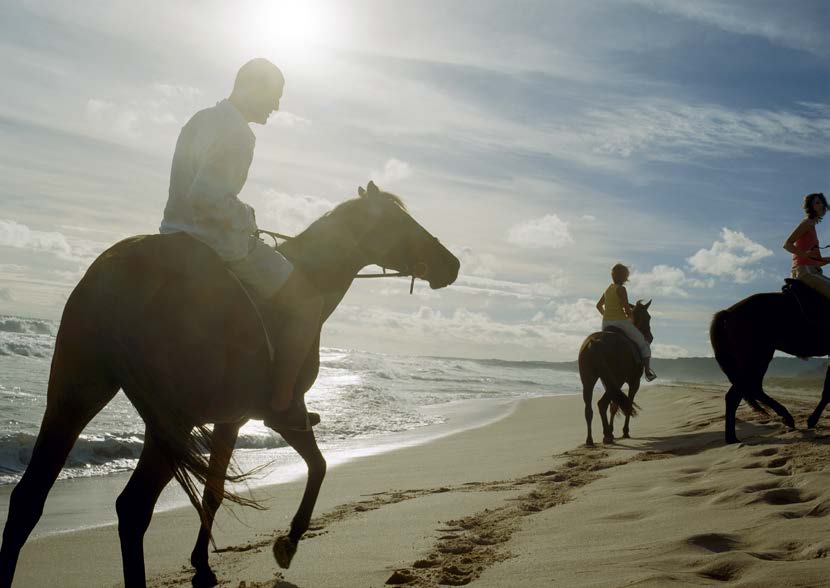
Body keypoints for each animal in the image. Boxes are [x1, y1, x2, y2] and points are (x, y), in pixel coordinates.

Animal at [0, 181, 462, 588]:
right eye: (400, 223)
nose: (452, 264)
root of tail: (120, 275)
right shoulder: (282, 415)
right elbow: (318, 466)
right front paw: (288, 542)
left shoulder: (231, 420)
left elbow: (214, 492)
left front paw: (202, 566)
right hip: (171, 420)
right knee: (132, 508)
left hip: (74, 397)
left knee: (27, 500)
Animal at [576, 304, 652, 446]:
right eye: (648, 317)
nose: (650, 337)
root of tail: (594, 343)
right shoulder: (634, 382)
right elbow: (626, 404)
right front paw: (624, 431)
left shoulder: (608, 382)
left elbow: (613, 405)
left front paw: (611, 430)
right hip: (618, 379)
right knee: (602, 404)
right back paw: (607, 436)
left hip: (588, 380)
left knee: (590, 409)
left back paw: (591, 440)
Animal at [708, 282, 830, 446]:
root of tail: (727, 313)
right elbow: (827, 391)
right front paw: (812, 420)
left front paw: (812, 420)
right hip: (756, 358)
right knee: (737, 395)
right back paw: (733, 438)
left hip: (759, 358)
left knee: (753, 389)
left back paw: (786, 418)